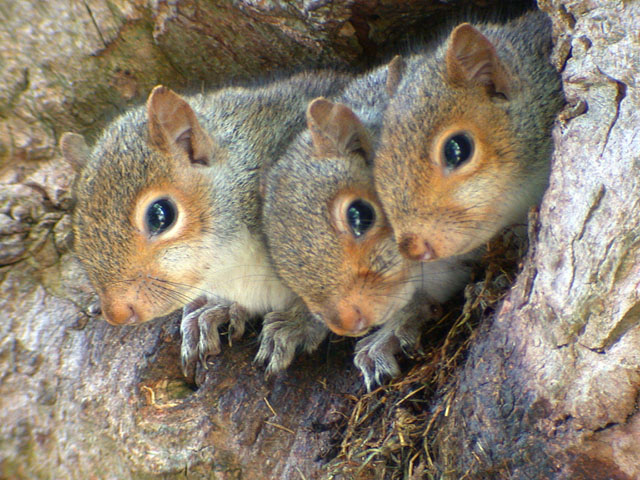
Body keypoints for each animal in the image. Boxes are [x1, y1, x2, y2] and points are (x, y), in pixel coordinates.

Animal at [59, 71, 350, 378]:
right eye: (77, 228)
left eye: (161, 215)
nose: (116, 314)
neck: (230, 266)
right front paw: (215, 312)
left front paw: (295, 325)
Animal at [258, 58, 472, 390]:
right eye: (272, 250)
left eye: (360, 214)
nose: (346, 323)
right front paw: (296, 324)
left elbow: (429, 293)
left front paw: (389, 335)